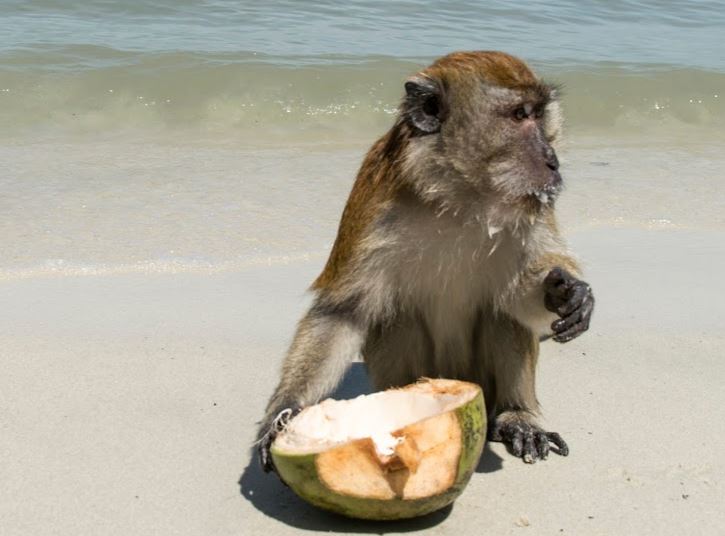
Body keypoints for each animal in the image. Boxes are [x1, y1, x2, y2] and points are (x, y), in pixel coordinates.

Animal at [255, 50, 592, 468]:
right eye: (519, 116)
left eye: (539, 115)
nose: (552, 160)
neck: (459, 195)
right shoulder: (375, 205)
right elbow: (342, 312)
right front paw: (283, 411)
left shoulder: (532, 208)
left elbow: (518, 293)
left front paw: (565, 292)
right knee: (395, 313)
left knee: (500, 312)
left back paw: (517, 417)